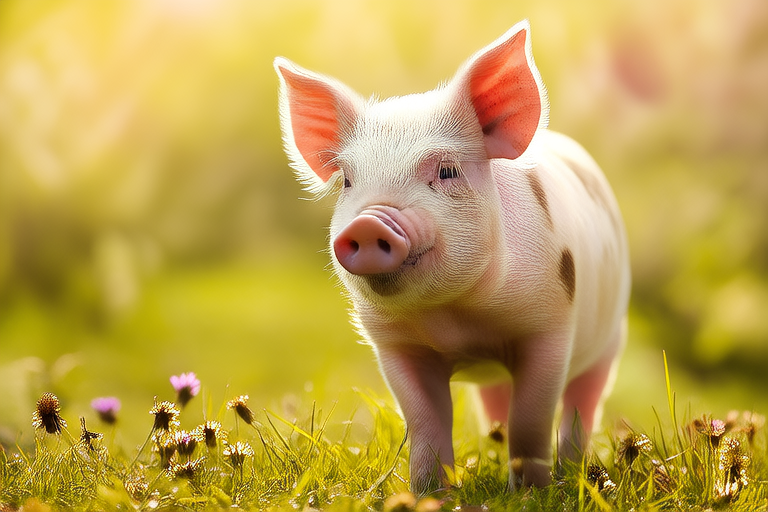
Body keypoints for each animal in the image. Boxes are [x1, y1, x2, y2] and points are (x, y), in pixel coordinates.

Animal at [273, 20, 631, 494]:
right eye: (348, 181)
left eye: (446, 171)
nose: (369, 222)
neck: (456, 320)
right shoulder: (394, 345)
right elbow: (427, 423)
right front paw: (429, 494)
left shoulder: (550, 325)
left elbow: (531, 418)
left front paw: (530, 493)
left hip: (610, 340)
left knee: (582, 405)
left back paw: (572, 471)